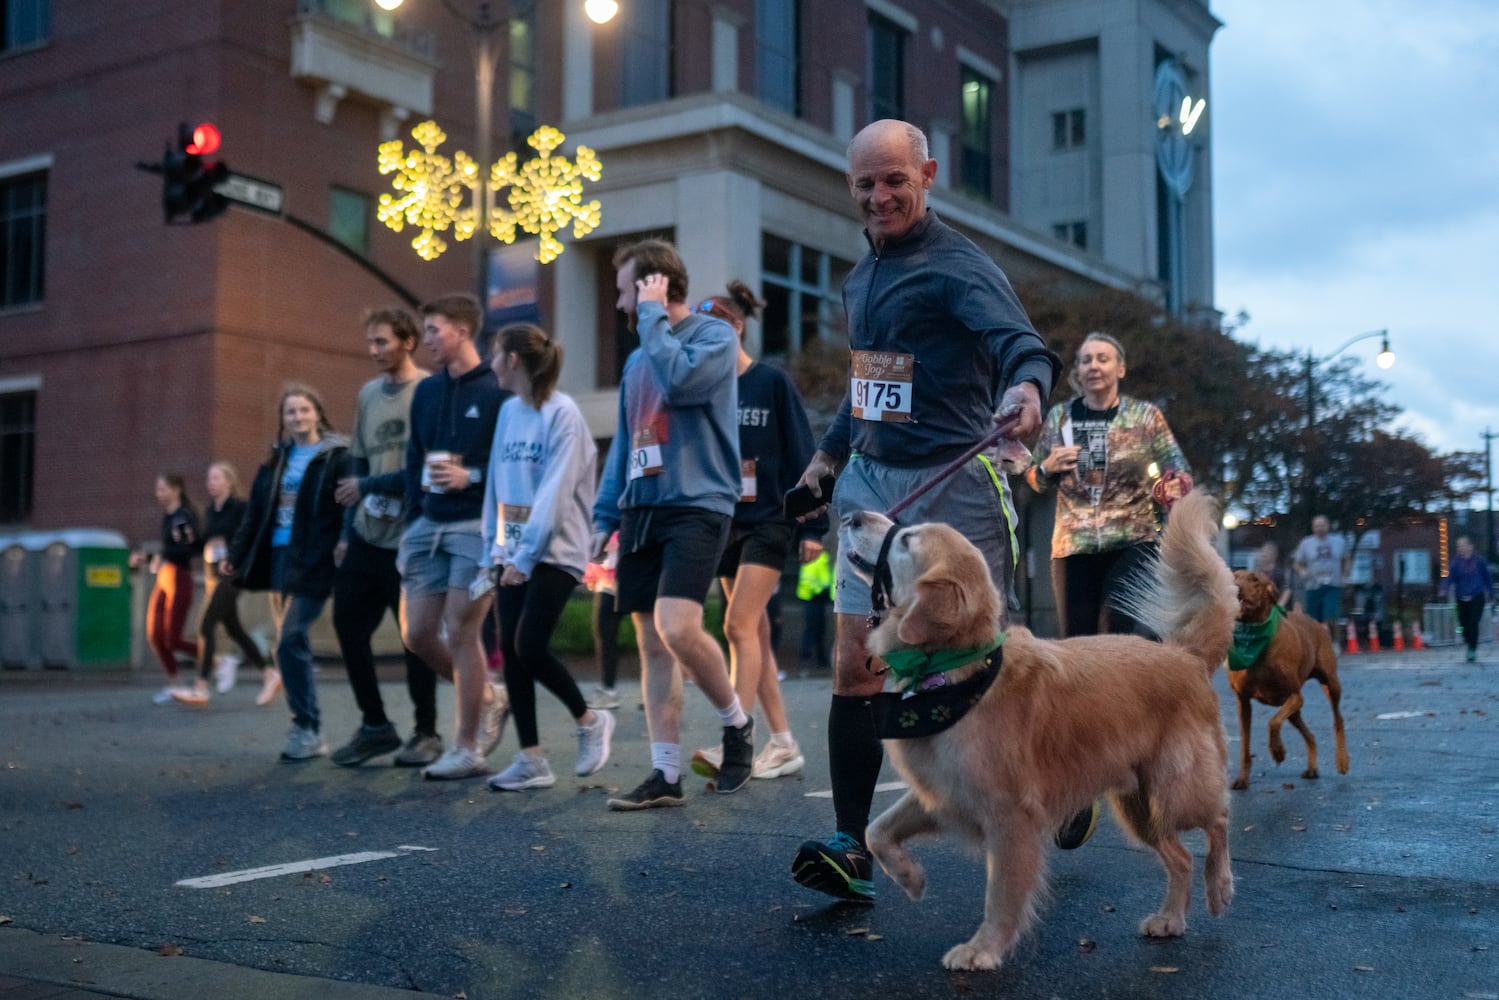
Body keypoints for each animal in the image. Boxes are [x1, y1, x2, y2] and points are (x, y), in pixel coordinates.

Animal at [845, 491, 1241, 971]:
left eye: (906, 540)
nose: (851, 515)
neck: (957, 671)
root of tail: (1184, 654)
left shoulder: (1011, 817)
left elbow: (1000, 896)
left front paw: (983, 948)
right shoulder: (941, 792)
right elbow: (876, 831)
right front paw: (911, 878)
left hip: (1178, 789)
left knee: (1219, 820)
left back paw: (1220, 887)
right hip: (1139, 806)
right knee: (1181, 858)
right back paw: (1170, 918)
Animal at [1229, 569, 1349, 791]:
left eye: (1255, 579)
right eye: (1234, 575)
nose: (1235, 586)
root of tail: (1311, 619)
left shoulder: (1295, 696)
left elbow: (1273, 722)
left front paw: (1278, 751)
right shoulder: (1242, 700)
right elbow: (1245, 744)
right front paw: (1242, 778)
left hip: (1330, 683)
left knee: (1338, 719)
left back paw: (1342, 760)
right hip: (1293, 711)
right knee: (1310, 735)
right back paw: (1312, 768)